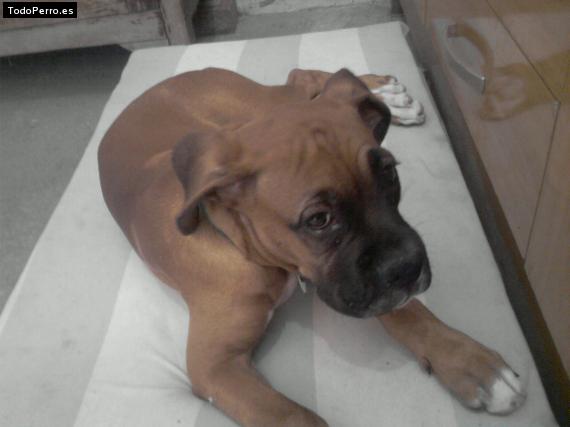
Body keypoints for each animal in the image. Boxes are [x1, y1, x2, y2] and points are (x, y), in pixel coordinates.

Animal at [98, 68, 526, 426]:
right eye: (318, 220)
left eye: (389, 173)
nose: (410, 267)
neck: (242, 244)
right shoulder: (216, 367)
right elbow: (291, 416)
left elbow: (410, 312)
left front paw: (471, 361)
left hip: (256, 108)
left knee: (306, 78)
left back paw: (384, 94)